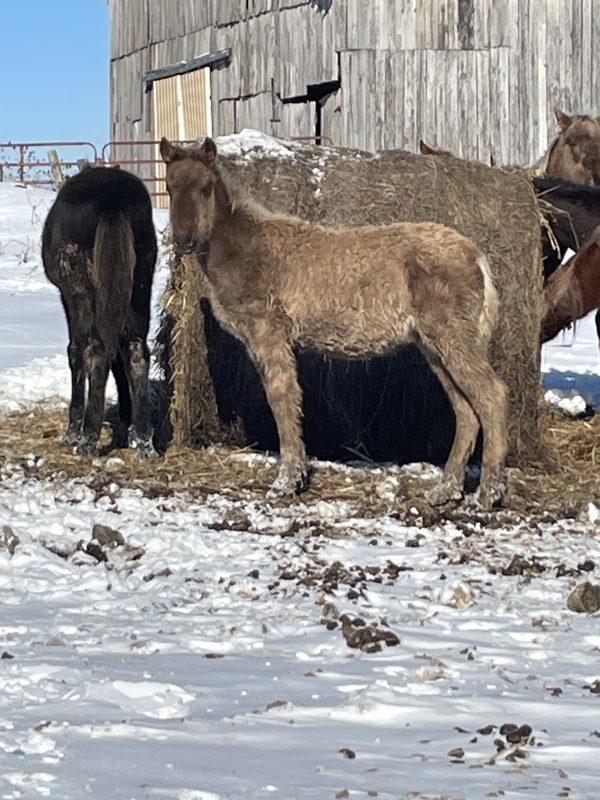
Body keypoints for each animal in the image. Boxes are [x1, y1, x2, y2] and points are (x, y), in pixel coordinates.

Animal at [43, 167, 158, 456]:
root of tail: (113, 199)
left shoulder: (69, 298)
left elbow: (75, 352)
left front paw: (73, 431)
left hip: (84, 295)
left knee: (96, 350)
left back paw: (88, 438)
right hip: (138, 290)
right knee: (136, 351)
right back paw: (145, 443)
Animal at [159, 136, 506, 506]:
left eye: (206, 188)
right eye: (168, 187)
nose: (183, 241)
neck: (246, 251)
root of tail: (476, 256)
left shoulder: (269, 333)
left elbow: (282, 397)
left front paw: (287, 481)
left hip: (452, 338)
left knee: (491, 396)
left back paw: (488, 493)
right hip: (434, 346)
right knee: (466, 410)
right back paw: (446, 489)